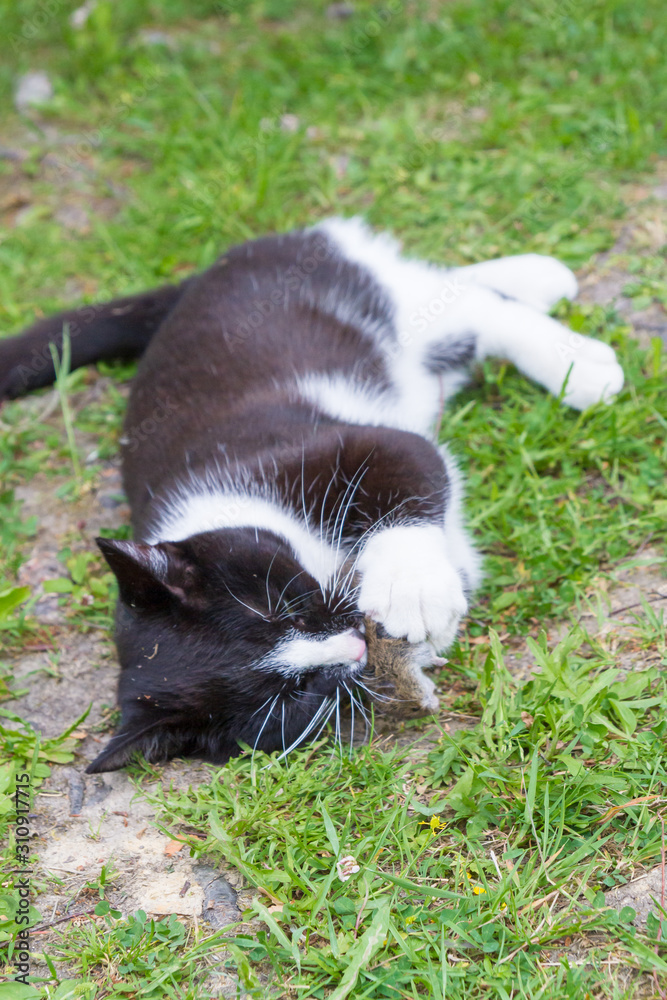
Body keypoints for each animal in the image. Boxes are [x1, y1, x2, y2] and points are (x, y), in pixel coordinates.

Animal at [1, 219, 628, 772]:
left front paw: (412, 590)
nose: (353, 647)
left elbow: (408, 467)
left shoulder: (329, 446)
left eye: (285, 607)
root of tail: (201, 277)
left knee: (467, 306)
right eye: (294, 693)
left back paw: (571, 347)